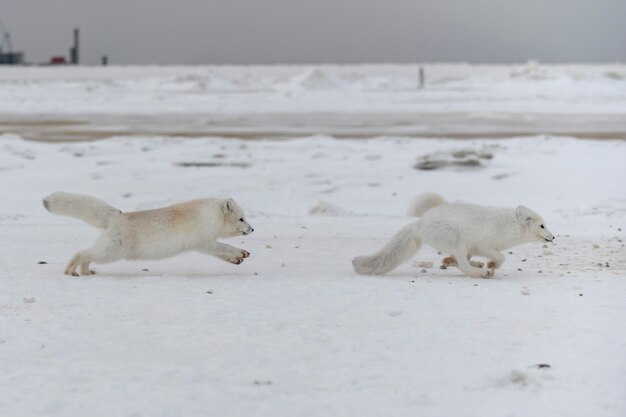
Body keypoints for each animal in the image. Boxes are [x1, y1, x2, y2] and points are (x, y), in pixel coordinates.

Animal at [43, 192, 254, 276]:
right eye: (242, 219)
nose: (252, 229)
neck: (210, 215)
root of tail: (118, 216)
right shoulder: (203, 241)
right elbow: (225, 247)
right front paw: (240, 253)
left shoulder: (204, 244)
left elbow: (221, 253)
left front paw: (237, 259)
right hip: (112, 252)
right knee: (81, 253)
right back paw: (71, 271)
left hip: (107, 251)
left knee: (87, 255)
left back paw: (86, 272)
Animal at [352, 193, 552, 278]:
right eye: (542, 225)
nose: (553, 237)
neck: (511, 226)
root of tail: (420, 223)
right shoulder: (484, 245)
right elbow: (501, 257)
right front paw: (491, 265)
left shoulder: (480, 247)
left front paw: (488, 264)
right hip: (457, 240)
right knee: (463, 265)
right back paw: (481, 272)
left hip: (462, 246)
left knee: (460, 261)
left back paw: (457, 262)